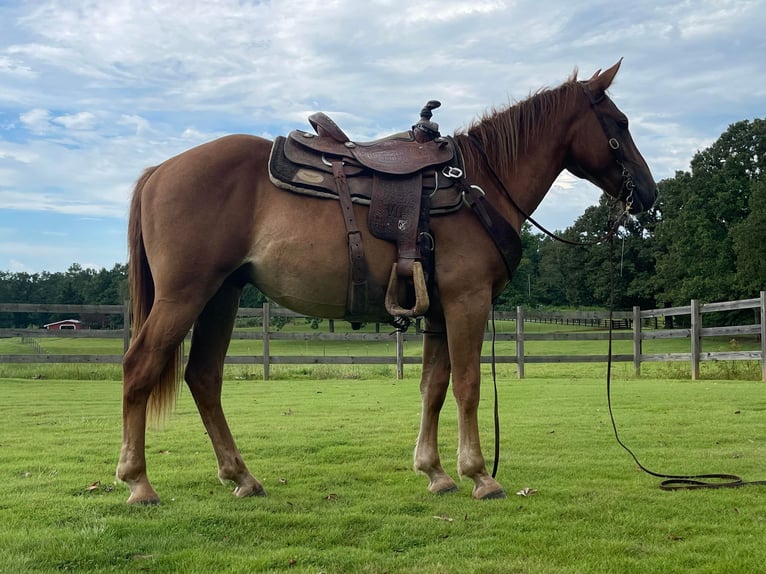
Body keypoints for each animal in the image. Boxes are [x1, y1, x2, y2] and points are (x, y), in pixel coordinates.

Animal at [115, 60, 660, 506]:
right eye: (620, 124)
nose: (649, 192)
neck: (479, 185)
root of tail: (160, 171)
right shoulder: (467, 302)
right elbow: (467, 385)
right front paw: (480, 475)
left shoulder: (438, 311)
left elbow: (433, 386)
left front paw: (435, 472)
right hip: (185, 296)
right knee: (139, 367)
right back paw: (138, 482)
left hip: (221, 297)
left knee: (204, 377)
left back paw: (241, 477)